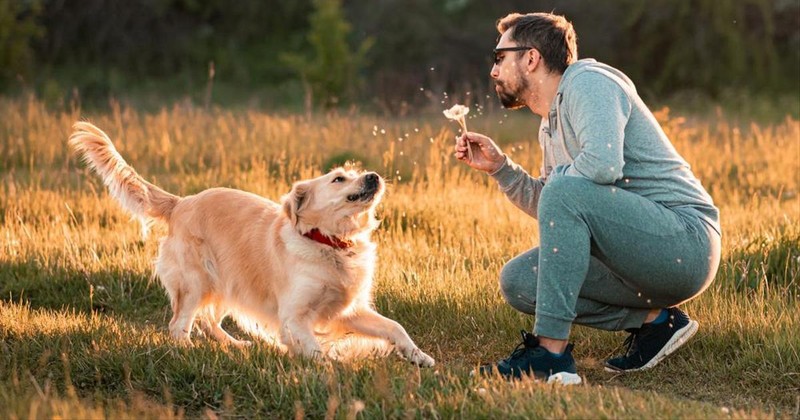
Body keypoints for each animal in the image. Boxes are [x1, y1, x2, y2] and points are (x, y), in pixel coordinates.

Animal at [66, 121, 434, 368]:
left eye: (356, 173)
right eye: (338, 178)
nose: (373, 176)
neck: (329, 243)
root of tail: (182, 202)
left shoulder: (349, 309)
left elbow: (394, 327)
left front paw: (419, 356)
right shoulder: (293, 316)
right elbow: (315, 349)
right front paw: (332, 369)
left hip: (228, 283)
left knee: (209, 321)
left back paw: (236, 345)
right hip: (197, 281)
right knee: (179, 325)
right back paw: (187, 352)